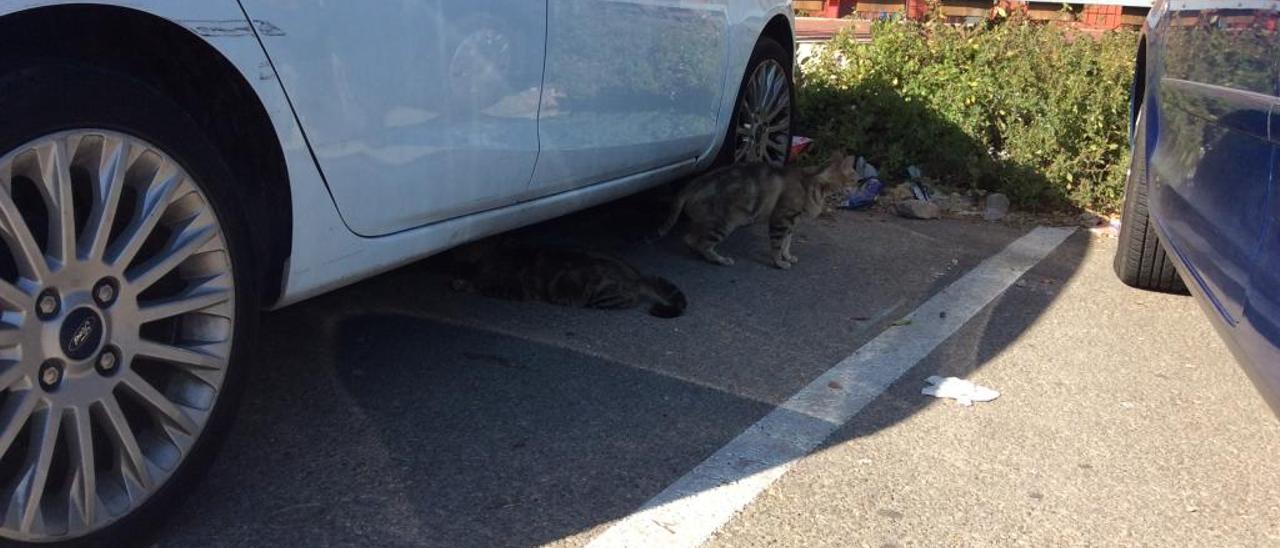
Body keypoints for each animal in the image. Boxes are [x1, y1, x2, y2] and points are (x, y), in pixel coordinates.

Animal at [655, 151, 855, 267]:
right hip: (724, 223)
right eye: (855, 177)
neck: (812, 184)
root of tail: (691, 184)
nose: (860, 183)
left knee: (690, 239)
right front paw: (779, 262)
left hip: (707, 222)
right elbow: (777, 245)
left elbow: (787, 243)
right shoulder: (781, 219)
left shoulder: (791, 222)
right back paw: (720, 260)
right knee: (701, 243)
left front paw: (787, 257)